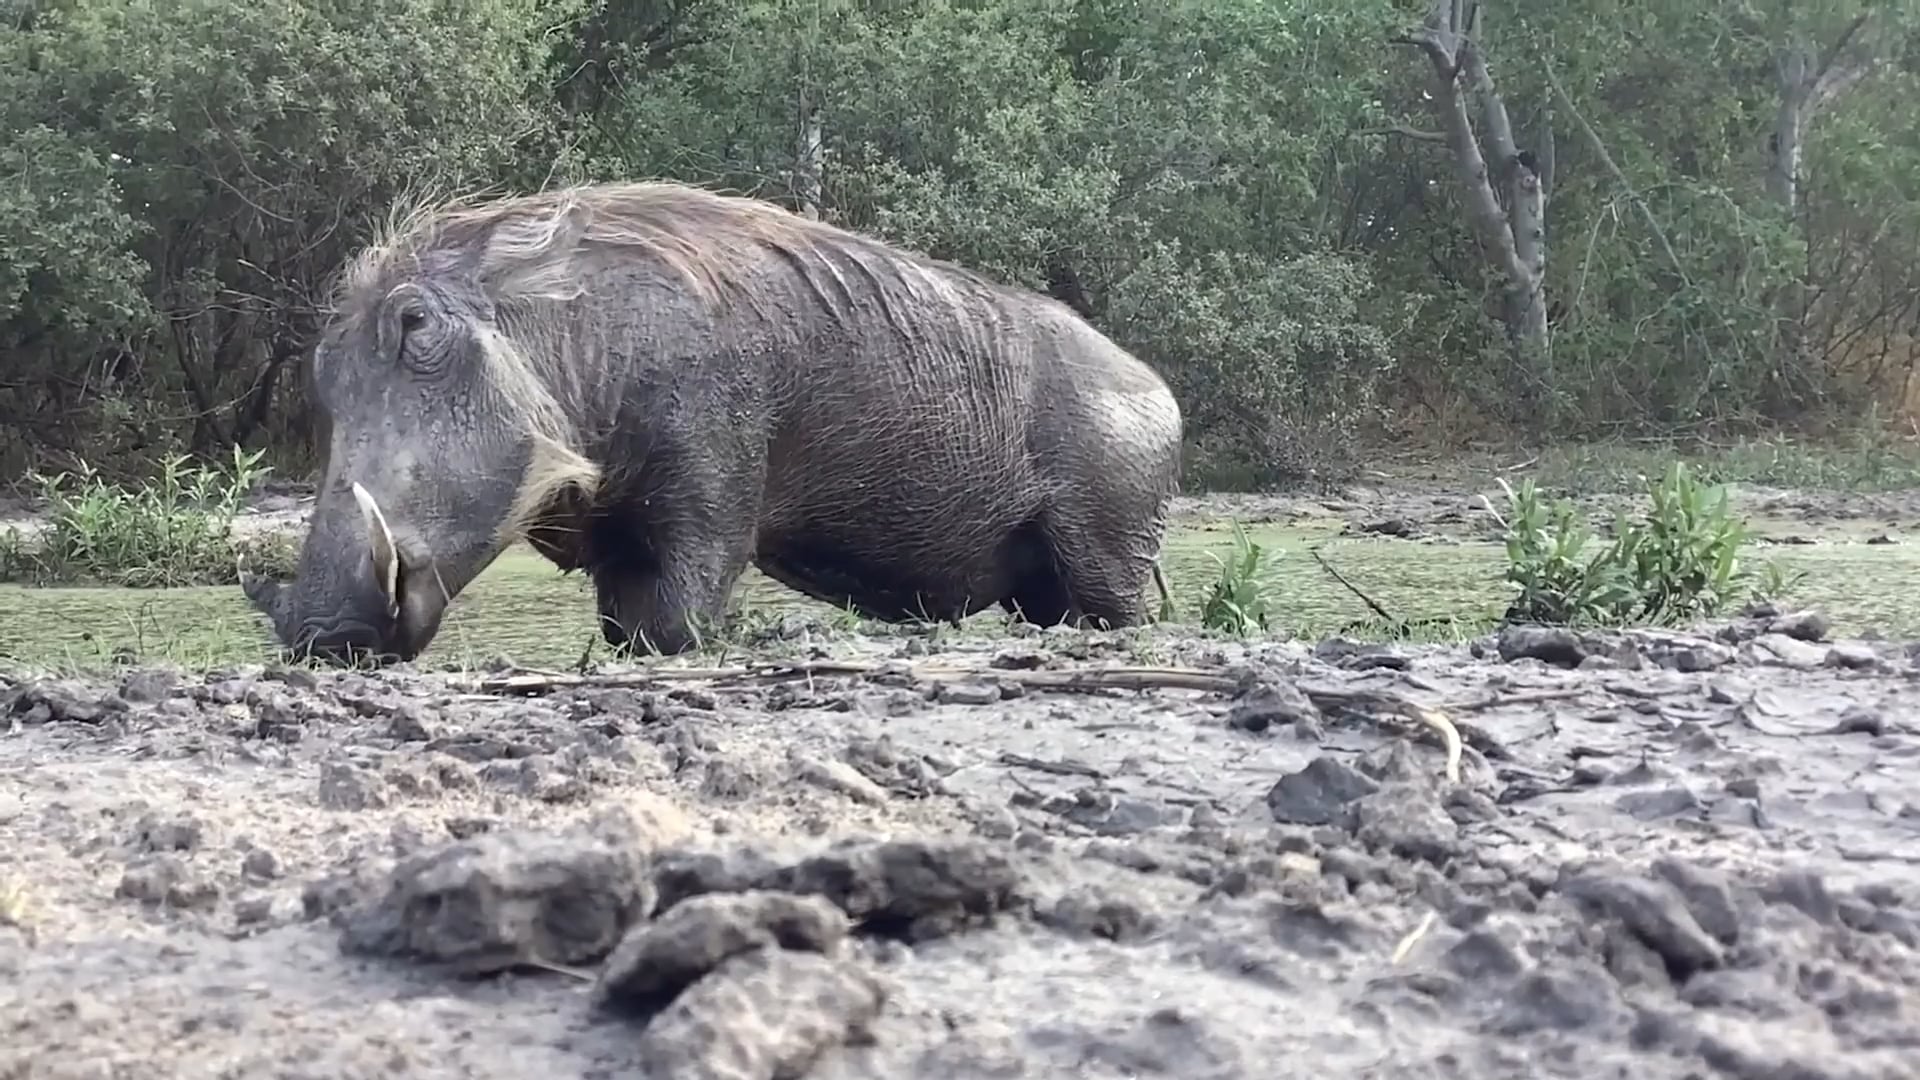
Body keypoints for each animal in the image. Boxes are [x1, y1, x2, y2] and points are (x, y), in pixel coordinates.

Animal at [241, 181, 1183, 664]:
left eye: (415, 329)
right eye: (325, 373)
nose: (322, 638)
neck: (580, 342)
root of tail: (1163, 392)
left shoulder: (711, 488)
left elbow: (678, 620)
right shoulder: (613, 533)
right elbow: (622, 626)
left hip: (1109, 557)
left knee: (1118, 615)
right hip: (1041, 584)